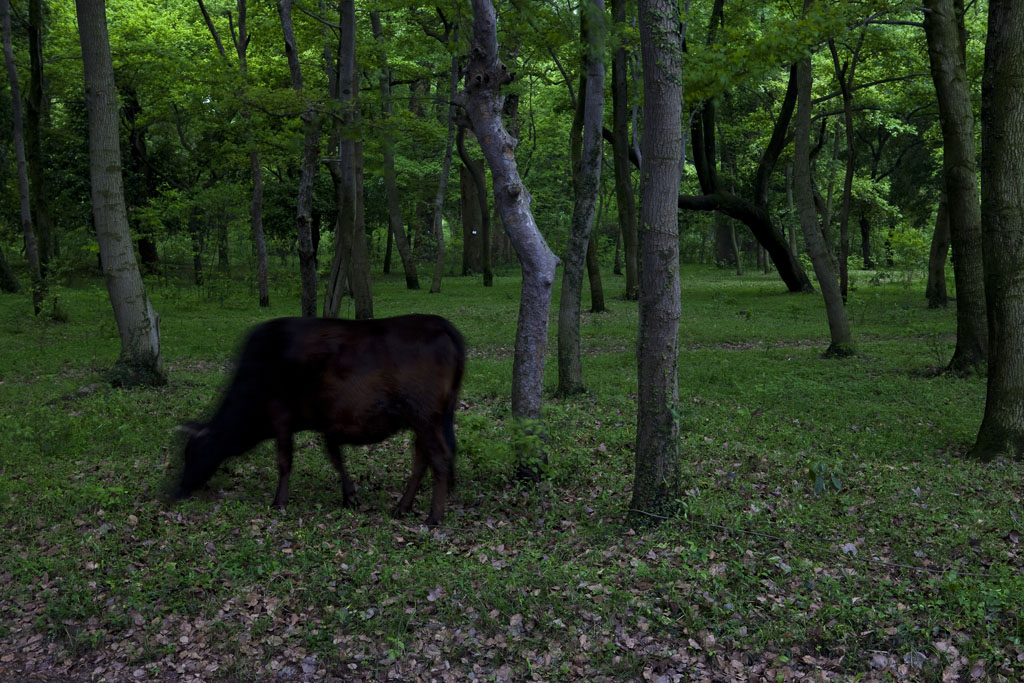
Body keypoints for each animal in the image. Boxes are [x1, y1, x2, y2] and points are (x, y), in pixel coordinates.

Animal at [175, 313, 464, 528]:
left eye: (194, 453)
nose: (177, 490)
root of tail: (440, 323)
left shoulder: (281, 416)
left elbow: (284, 461)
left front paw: (279, 502)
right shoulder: (328, 423)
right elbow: (335, 457)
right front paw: (350, 496)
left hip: (425, 417)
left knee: (439, 459)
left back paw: (434, 517)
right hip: (425, 421)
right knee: (423, 460)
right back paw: (402, 506)